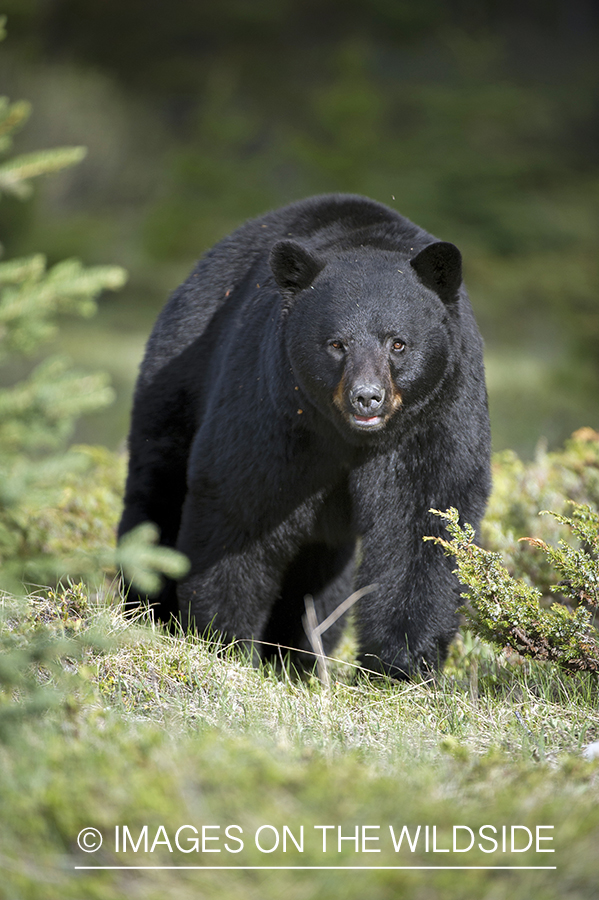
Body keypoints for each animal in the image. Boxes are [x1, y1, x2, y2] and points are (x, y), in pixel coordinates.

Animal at [118, 193, 492, 680]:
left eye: (398, 343)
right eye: (336, 344)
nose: (366, 397)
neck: (349, 439)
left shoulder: (436, 418)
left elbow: (424, 524)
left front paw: (400, 666)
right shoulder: (273, 411)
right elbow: (239, 509)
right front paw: (222, 638)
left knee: (318, 574)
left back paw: (299, 657)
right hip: (177, 376)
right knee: (157, 496)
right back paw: (147, 611)